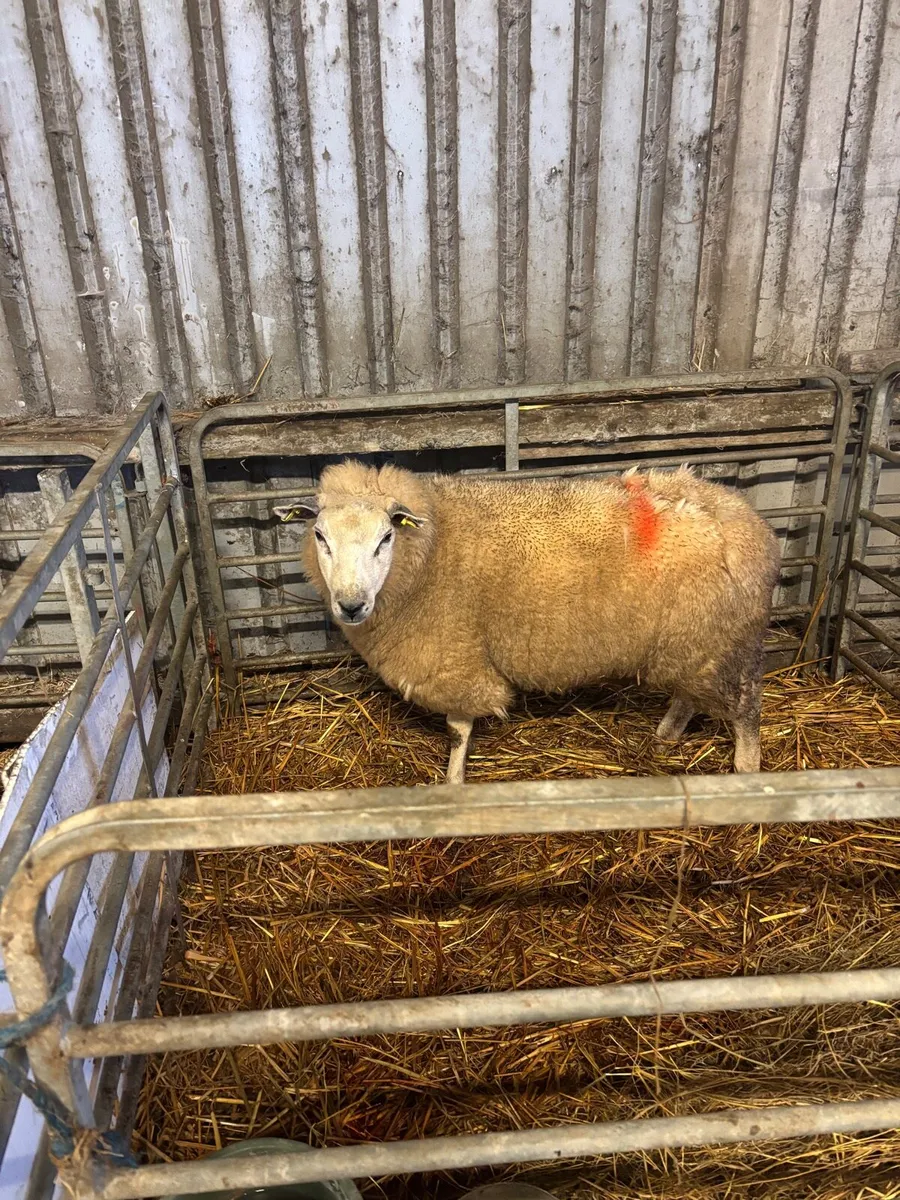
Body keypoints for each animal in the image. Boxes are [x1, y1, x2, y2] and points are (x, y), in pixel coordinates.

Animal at [274, 460, 781, 783]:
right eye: (319, 535)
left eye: (385, 538)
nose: (351, 605)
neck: (433, 550)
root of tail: (751, 525)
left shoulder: (455, 656)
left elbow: (458, 731)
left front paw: (452, 783)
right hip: (695, 639)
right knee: (689, 693)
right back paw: (666, 736)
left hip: (722, 637)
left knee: (745, 710)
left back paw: (745, 771)